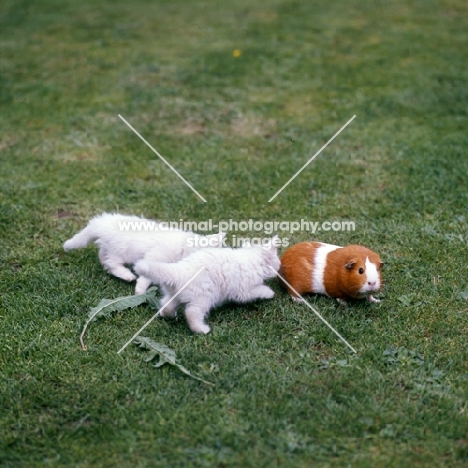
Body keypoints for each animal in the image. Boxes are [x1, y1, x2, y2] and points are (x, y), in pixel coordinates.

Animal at [64, 214, 227, 294]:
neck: (182, 246)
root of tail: (99, 224)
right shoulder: (153, 257)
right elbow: (145, 277)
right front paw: (140, 291)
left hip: (109, 248)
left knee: (103, 257)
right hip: (120, 250)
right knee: (113, 263)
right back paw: (127, 275)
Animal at [135, 238, 282, 332]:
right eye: (277, 260)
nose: (280, 265)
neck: (250, 261)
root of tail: (179, 271)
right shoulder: (243, 291)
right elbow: (259, 290)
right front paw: (269, 293)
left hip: (174, 295)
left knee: (166, 305)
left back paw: (169, 315)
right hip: (204, 297)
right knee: (191, 312)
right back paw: (201, 330)